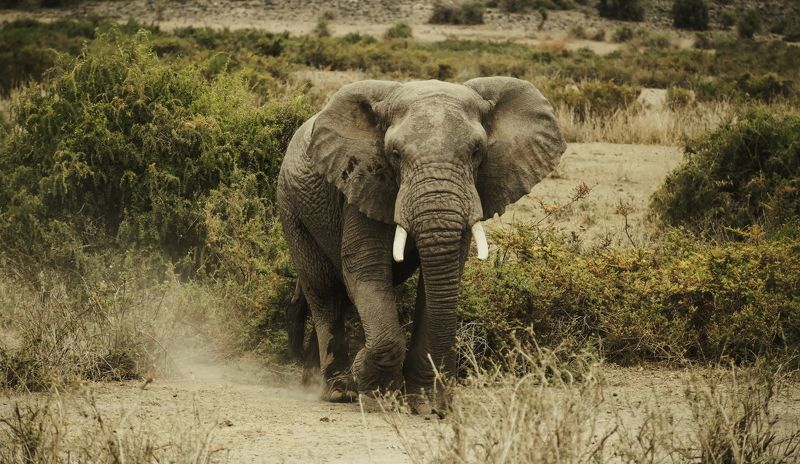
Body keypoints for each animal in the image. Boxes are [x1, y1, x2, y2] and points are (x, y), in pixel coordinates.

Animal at [277, 77, 566, 412]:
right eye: (395, 154)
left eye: (477, 152)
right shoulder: (364, 182)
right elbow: (365, 269)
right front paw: (378, 396)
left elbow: (440, 279)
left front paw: (429, 404)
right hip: (292, 208)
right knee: (325, 290)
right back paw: (339, 390)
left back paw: (316, 380)